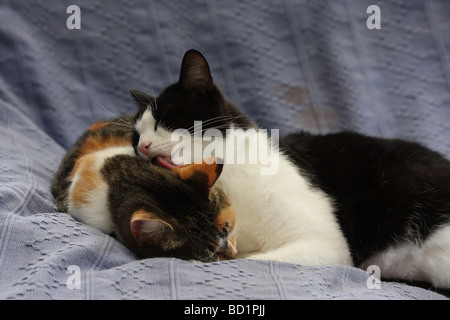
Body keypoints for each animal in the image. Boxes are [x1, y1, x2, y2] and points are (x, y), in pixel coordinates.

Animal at [129, 48, 450, 288]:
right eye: (135, 136)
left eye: (167, 119)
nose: (143, 145)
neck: (228, 181)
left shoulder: (326, 244)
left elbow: (248, 260)